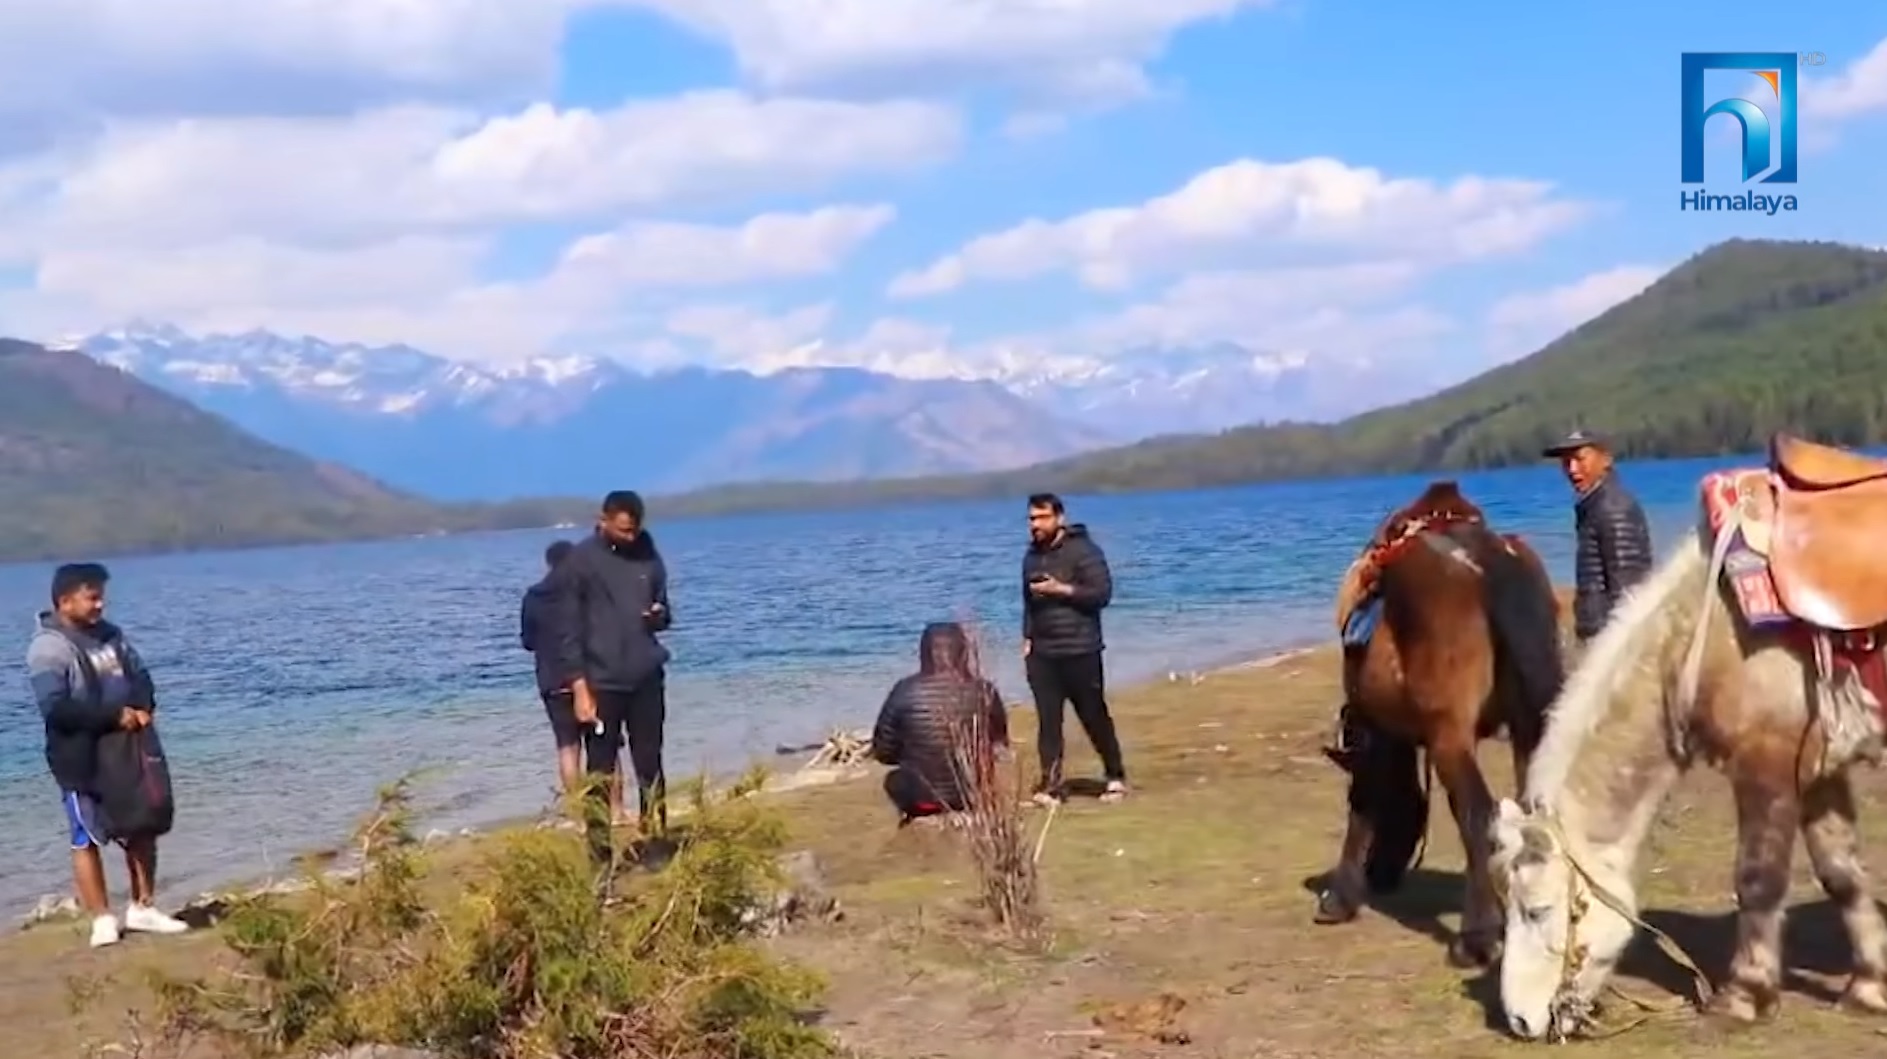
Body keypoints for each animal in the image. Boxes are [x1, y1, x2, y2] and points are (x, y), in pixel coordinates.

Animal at [1313, 479, 1562, 966]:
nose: (1382, 875)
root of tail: (1485, 561)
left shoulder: (1378, 734)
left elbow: (1362, 805)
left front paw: (1339, 899)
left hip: (1449, 739)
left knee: (1479, 813)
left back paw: (1476, 937)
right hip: (1524, 729)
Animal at [1494, 432, 1887, 1042]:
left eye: (1536, 910)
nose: (1517, 1019)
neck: (1707, 634)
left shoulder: (1765, 763)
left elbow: (1757, 879)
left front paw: (1744, 997)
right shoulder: (1821, 768)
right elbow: (1841, 873)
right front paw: (1868, 988)